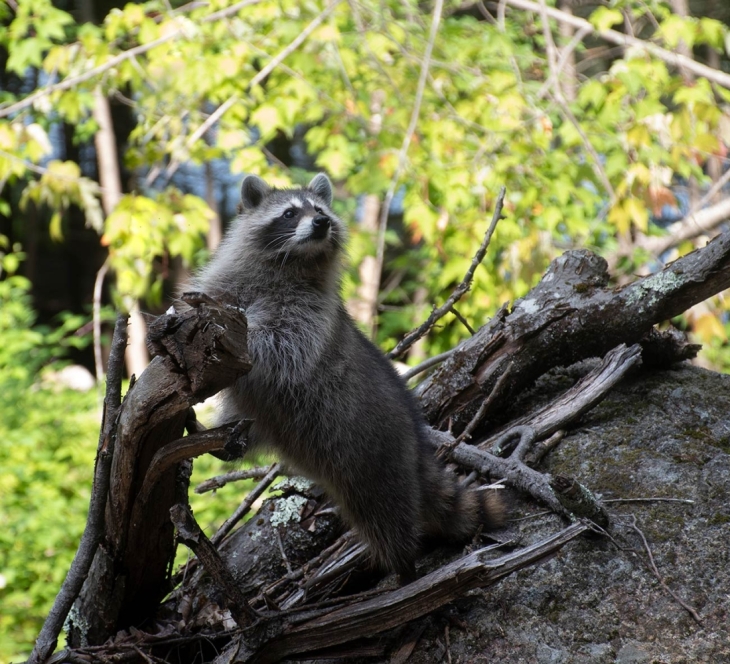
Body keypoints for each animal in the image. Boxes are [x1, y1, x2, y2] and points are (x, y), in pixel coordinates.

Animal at [192, 172, 500, 576]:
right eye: (290, 213)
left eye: (320, 210)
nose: (321, 222)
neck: (292, 262)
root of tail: (415, 444)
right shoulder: (230, 282)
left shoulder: (311, 315)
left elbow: (284, 347)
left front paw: (248, 337)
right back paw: (227, 441)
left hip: (376, 460)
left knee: (388, 517)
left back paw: (403, 568)